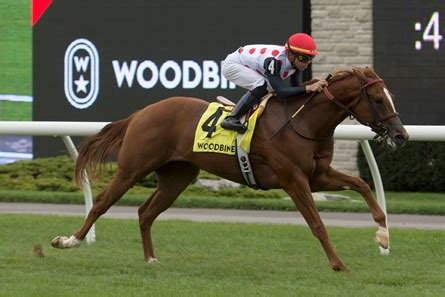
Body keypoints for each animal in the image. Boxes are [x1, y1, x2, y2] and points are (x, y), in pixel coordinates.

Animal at [51, 67, 406, 270]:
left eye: (390, 96)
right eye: (377, 99)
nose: (401, 135)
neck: (302, 121)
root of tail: (141, 112)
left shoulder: (317, 176)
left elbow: (362, 186)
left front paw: (383, 236)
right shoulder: (293, 179)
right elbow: (317, 223)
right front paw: (338, 264)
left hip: (177, 176)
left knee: (145, 212)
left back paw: (151, 258)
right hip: (132, 168)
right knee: (100, 203)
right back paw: (69, 242)